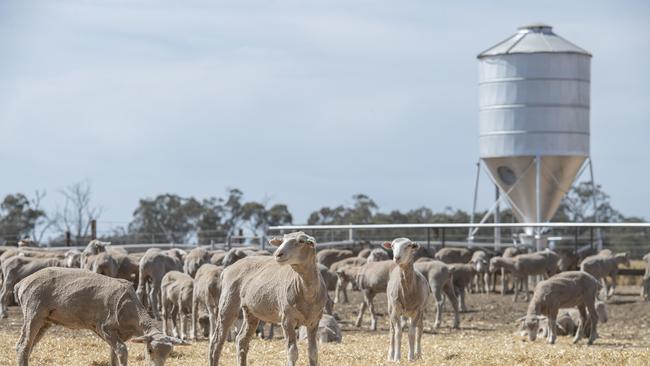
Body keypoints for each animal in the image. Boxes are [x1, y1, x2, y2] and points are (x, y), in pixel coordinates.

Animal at [210, 232, 326, 366]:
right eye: (282, 241)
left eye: (301, 241)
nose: (278, 254)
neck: (307, 293)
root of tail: (227, 269)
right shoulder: (287, 319)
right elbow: (292, 352)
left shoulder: (314, 321)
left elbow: (313, 353)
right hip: (228, 302)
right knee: (216, 342)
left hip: (250, 311)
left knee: (241, 340)